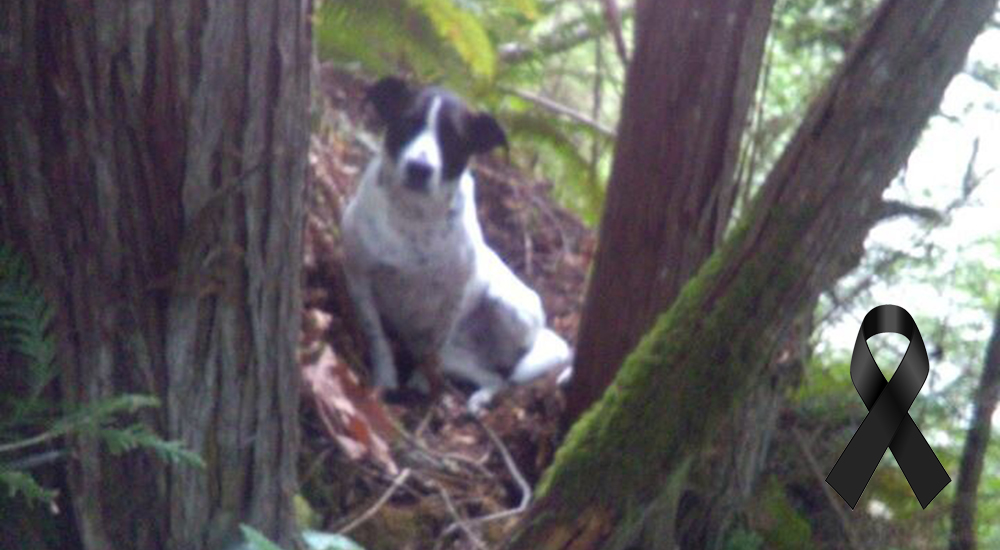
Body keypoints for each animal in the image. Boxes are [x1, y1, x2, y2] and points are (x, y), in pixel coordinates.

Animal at [342, 78, 572, 414]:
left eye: (453, 138)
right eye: (408, 121)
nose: (419, 168)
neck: (415, 216)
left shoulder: (455, 296)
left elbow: (433, 348)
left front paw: (421, 384)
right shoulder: (358, 277)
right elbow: (377, 337)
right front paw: (385, 380)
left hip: (507, 305)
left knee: (504, 374)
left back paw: (479, 398)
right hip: (460, 356)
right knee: (493, 377)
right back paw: (479, 397)